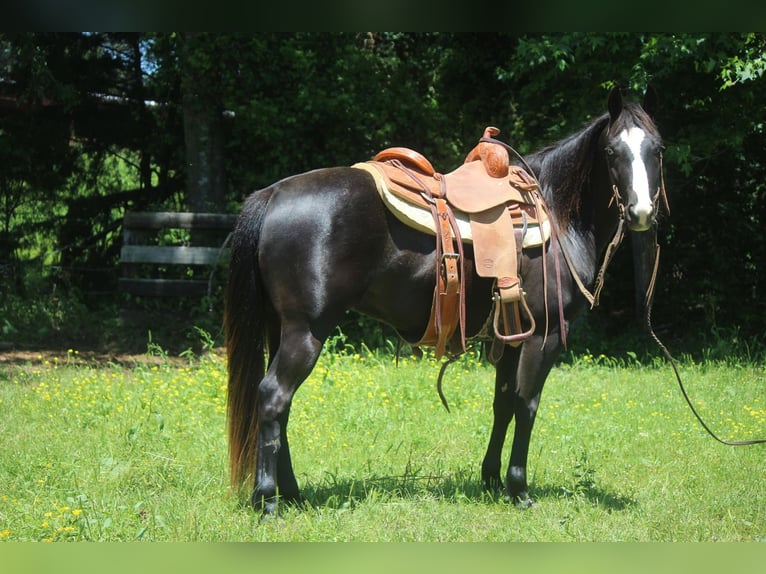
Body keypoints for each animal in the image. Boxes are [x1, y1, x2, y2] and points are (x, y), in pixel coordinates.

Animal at [226, 86, 664, 516]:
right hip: (307, 332)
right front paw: (519, 489)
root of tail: (273, 194)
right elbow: (526, 405)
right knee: (274, 397)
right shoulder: (546, 334)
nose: (642, 212)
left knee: (280, 407)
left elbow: (503, 403)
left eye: (657, 149)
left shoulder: (510, 336)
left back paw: (292, 494)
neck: (557, 214)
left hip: (281, 330)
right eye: (612, 152)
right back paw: (269, 500)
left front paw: (492, 481)